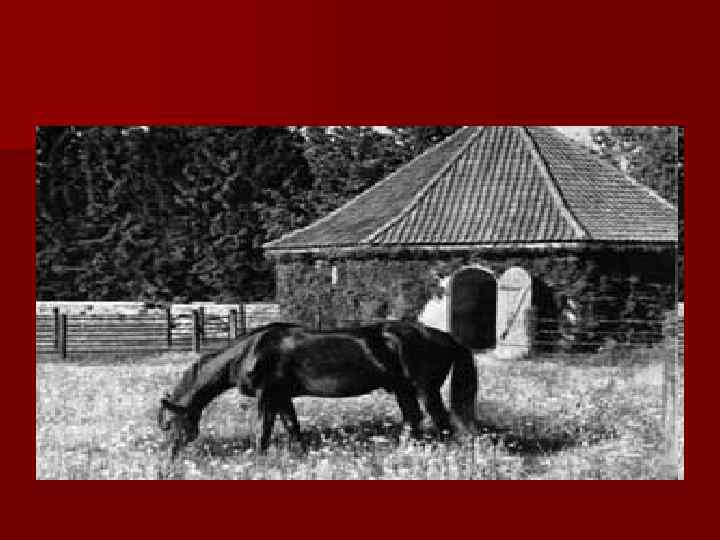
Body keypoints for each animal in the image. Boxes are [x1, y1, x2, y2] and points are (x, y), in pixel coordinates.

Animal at [157, 321, 478, 457]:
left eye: (170, 423)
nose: (171, 455)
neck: (252, 351)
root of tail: (445, 336)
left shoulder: (267, 395)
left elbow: (263, 431)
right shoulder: (282, 397)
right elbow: (292, 427)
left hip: (426, 390)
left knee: (441, 422)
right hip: (403, 390)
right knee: (413, 420)